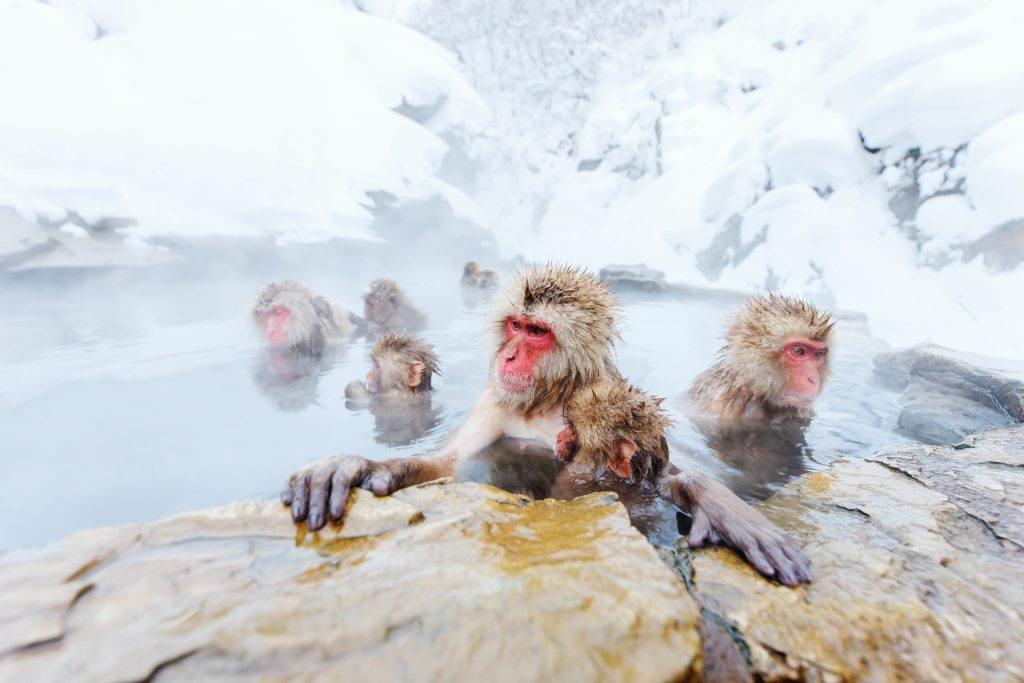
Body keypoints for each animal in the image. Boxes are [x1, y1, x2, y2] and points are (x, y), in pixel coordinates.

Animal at [281, 264, 810, 585]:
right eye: (516, 325)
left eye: (537, 333)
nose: (510, 355)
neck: (549, 399)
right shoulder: (494, 398)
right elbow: (451, 461)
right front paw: (356, 466)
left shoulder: (607, 395)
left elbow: (659, 471)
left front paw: (722, 507)